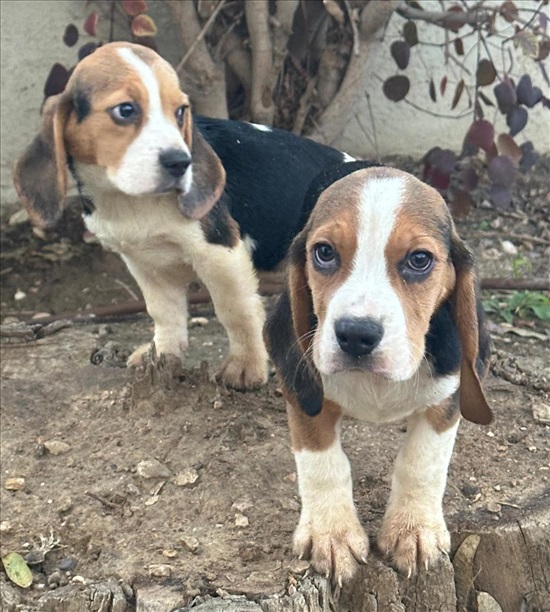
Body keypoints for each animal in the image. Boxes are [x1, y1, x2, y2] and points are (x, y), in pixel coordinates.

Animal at [15, 43, 354, 390]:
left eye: (180, 112)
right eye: (126, 110)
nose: (181, 162)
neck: (131, 201)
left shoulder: (220, 252)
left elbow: (235, 310)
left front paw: (245, 366)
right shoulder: (144, 264)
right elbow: (164, 312)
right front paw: (163, 354)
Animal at [266, 163, 494, 584]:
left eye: (419, 259)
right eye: (324, 253)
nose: (356, 335)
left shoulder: (445, 400)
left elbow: (421, 463)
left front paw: (414, 530)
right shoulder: (306, 400)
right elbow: (322, 466)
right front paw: (331, 534)